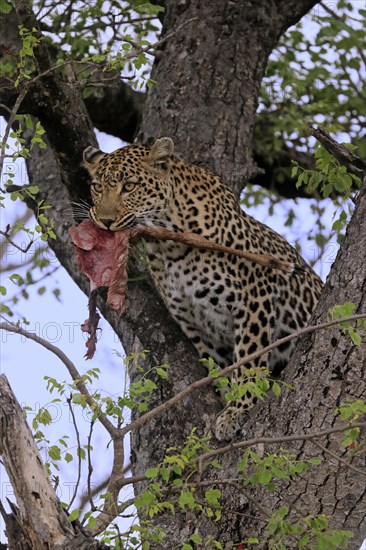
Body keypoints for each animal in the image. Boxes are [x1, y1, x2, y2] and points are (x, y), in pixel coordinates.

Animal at [83, 139, 324, 444]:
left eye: (129, 186)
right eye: (96, 187)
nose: (104, 221)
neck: (169, 245)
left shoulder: (255, 295)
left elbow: (249, 357)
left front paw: (238, 410)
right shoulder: (196, 323)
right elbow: (220, 368)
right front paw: (227, 402)